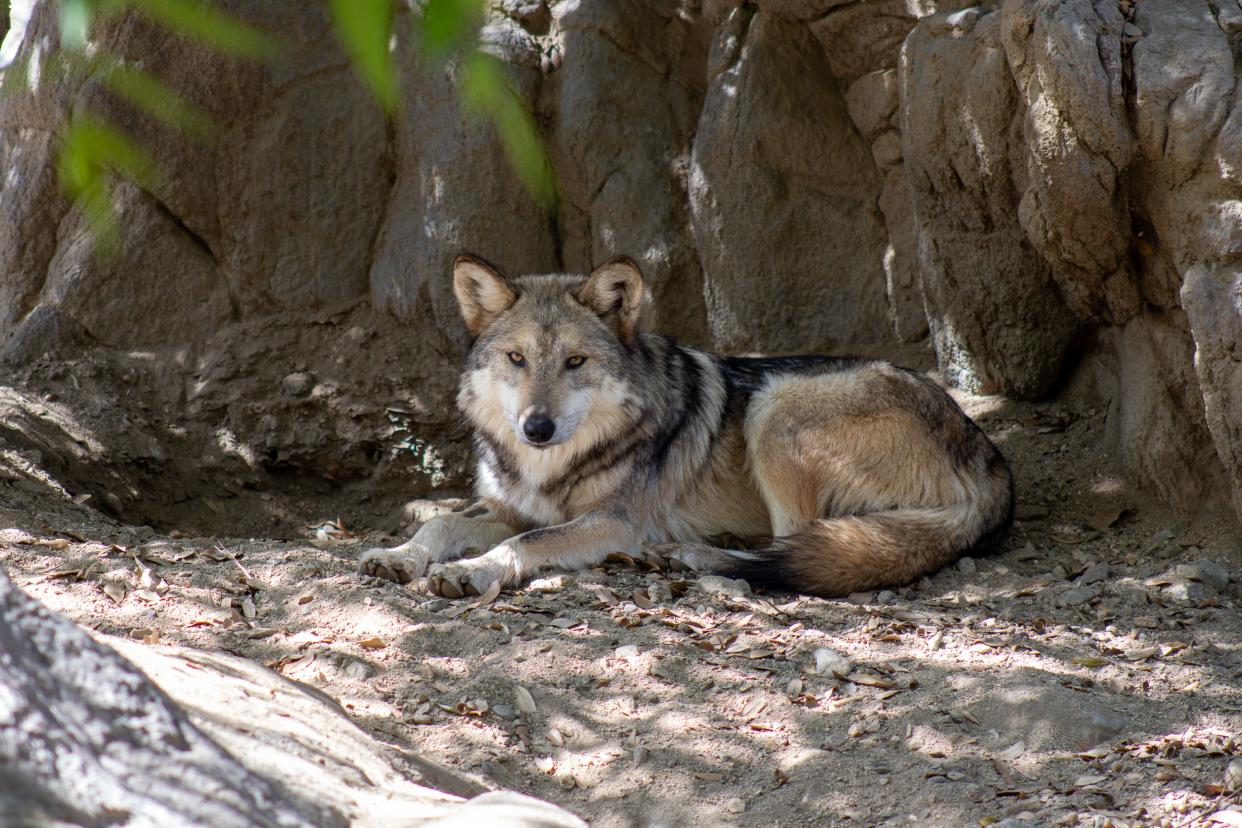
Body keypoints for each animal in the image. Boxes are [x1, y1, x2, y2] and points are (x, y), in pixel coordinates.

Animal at [355, 255, 1013, 598]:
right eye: (517, 359)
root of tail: (991, 459)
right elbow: (442, 520)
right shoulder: (511, 506)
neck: (549, 466)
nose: (536, 427)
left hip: (774, 407)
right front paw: (399, 556)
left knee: (792, 544)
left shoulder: (611, 521)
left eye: (575, 362)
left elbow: (523, 545)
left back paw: (682, 556)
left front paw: (469, 571)